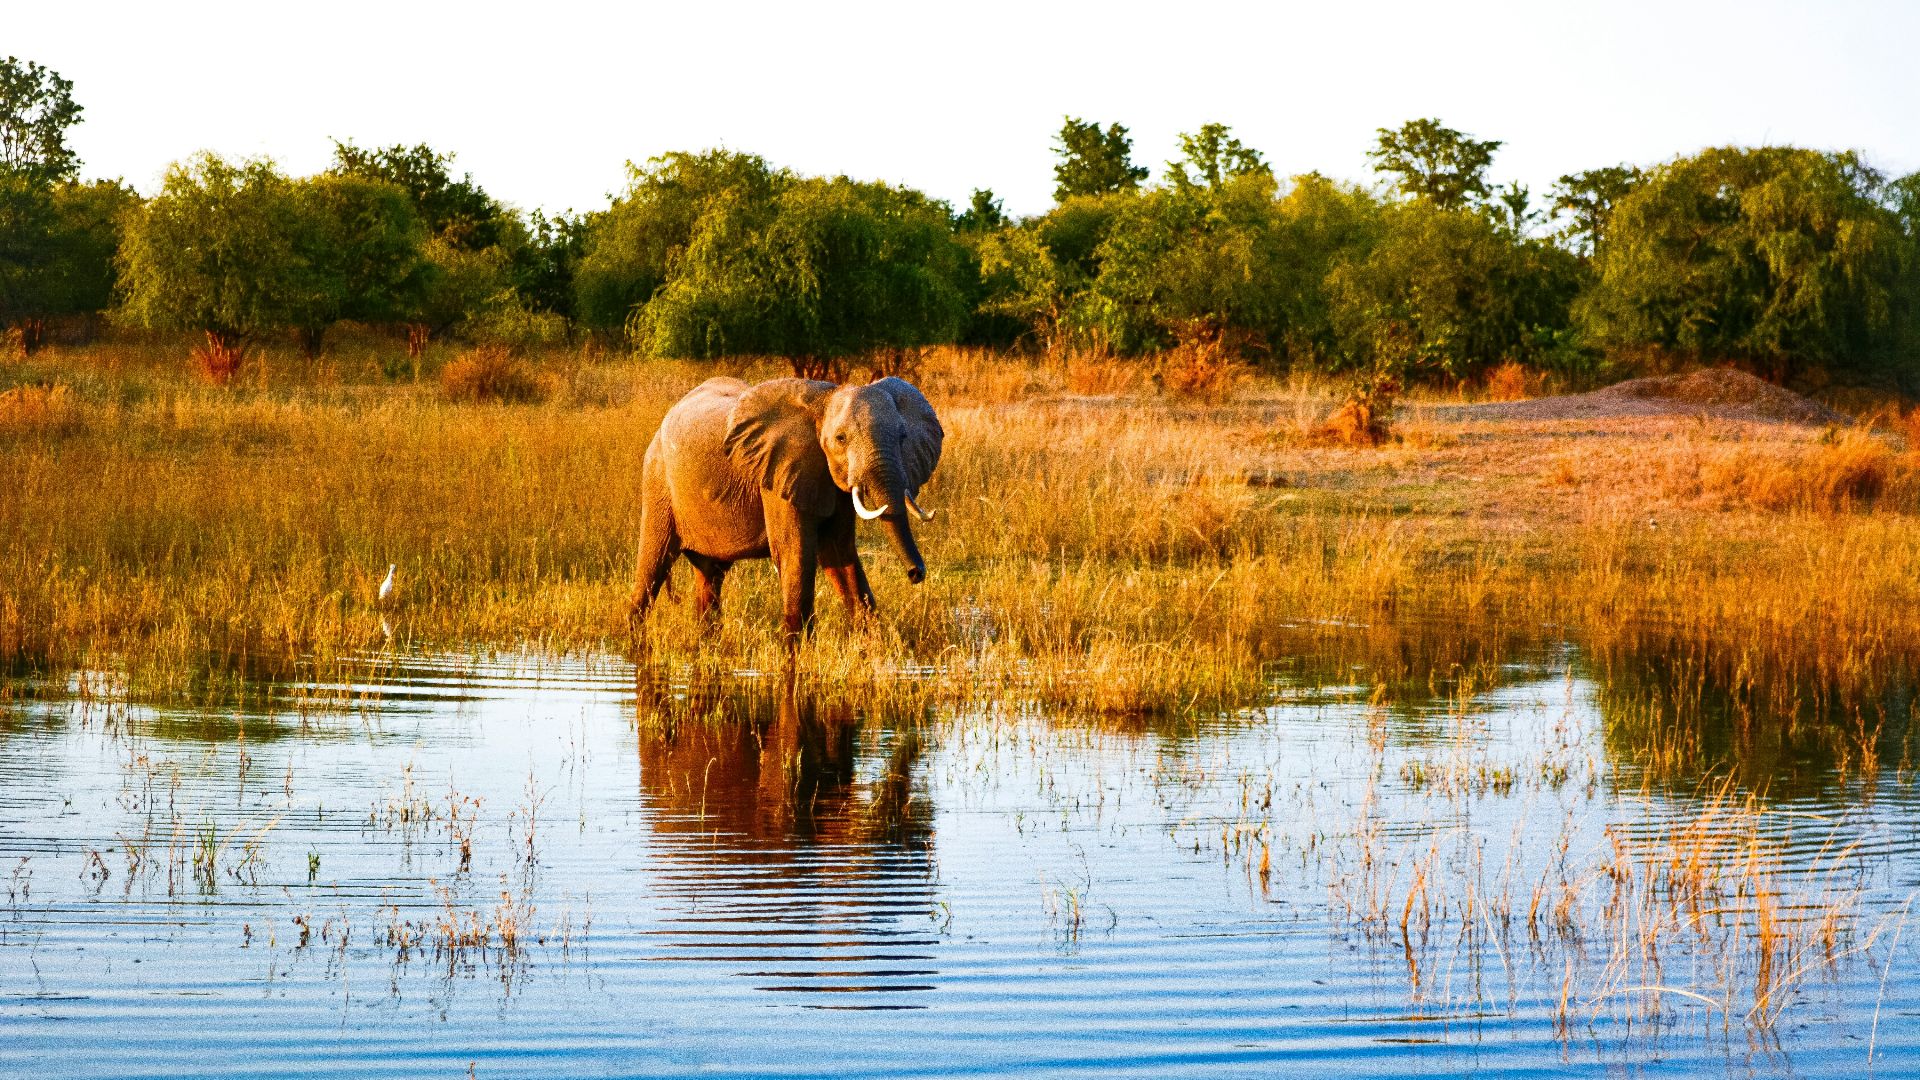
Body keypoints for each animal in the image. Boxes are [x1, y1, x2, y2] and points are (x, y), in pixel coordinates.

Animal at [628, 375, 943, 638]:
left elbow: (839, 554)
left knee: (709, 577)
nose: (916, 573)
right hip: (658, 481)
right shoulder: (778, 473)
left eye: (903, 438)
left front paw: (870, 643)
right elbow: (796, 554)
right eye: (840, 439)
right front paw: (798, 651)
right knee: (652, 568)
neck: (824, 399)